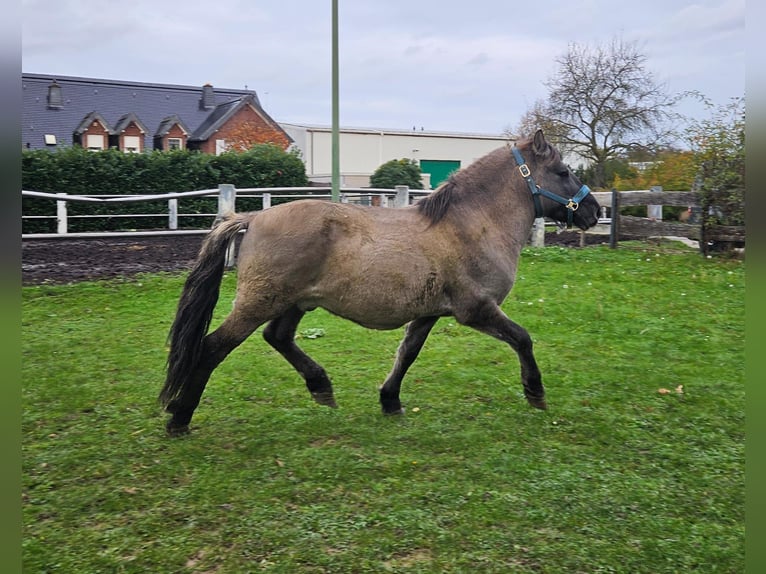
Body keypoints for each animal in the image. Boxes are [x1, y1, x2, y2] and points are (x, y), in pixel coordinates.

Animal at [160, 129, 600, 436]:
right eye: (562, 172)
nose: (593, 211)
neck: (470, 225)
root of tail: (250, 218)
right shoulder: (476, 310)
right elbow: (523, 339)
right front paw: (535, 393)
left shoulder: (429, 313)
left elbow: (407, 353)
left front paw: (390, 400)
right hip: (259, 302)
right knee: (213, 347)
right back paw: (179, 418)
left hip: (294, 302)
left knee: (278, 337)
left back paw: (321, 387)